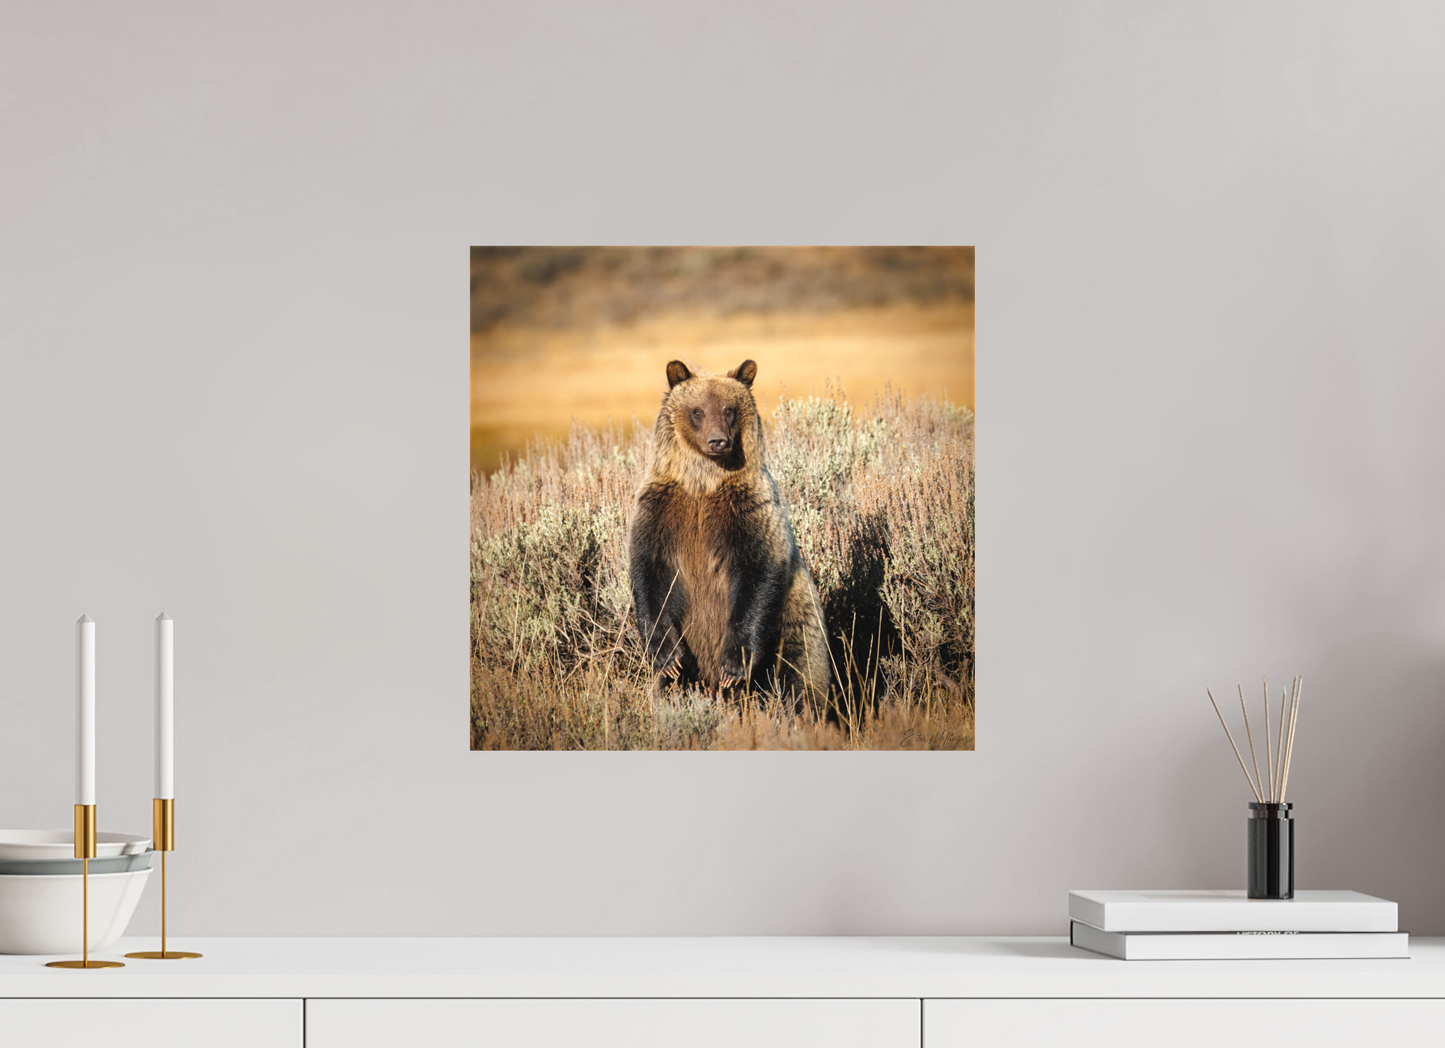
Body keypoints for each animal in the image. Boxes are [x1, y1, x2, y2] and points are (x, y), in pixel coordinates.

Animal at [629, 358, 831, 706]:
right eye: (697, 410)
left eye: (729, 410)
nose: (718, 441)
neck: (703, 484)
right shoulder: (661, 512)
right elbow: (650, 576)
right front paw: (667, 657)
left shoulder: (748, 511)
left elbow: (757, 574)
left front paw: (733, 665)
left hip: (796, 623)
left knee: (799, 676)